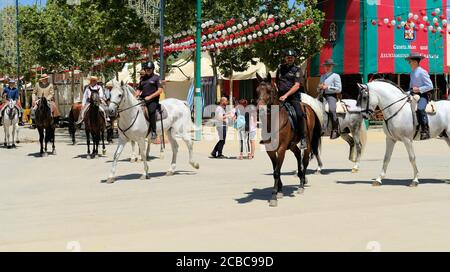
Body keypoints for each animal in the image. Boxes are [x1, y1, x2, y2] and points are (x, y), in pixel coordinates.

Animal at [255, 73, 322, 207]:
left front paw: (274, 196)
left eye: (269, 91)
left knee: (304, 161)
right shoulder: (270, 150)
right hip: (291, 145)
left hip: (307, 143)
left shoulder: (281, 149)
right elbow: (275, 169)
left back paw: (301, 185)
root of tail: (309, 107)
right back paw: (301, 176)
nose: (261, 110)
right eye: (257, 90)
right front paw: (279, 190)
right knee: (298, 155)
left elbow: (276, 171)